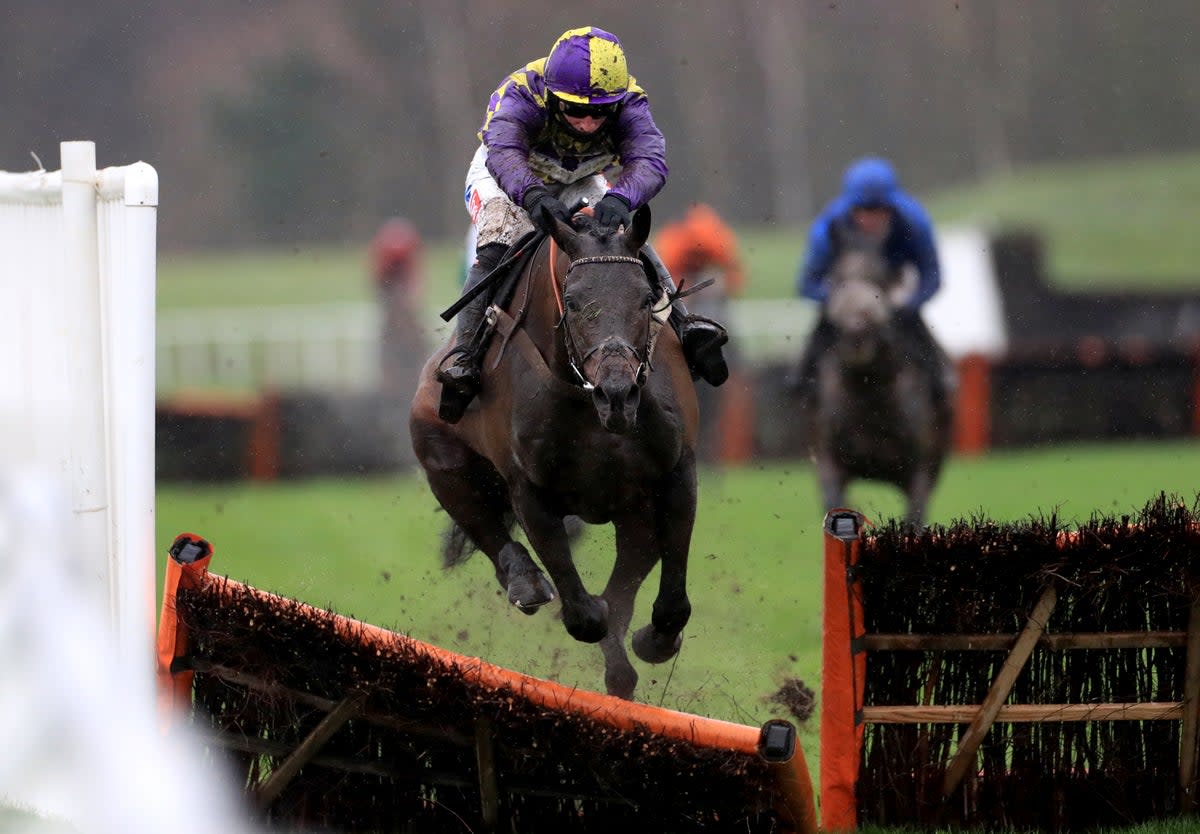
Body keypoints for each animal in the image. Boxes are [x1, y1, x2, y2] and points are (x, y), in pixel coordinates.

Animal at [410, 205, 700, 700]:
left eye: (646, 298)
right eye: (575, 301)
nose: (618, 393)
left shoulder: (675, 473)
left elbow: (669, 599)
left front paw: (655, 639)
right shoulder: (528, 489)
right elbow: (585, 613)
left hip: (635, 514)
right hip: (444, 462)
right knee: (490, 533)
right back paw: (525, 581)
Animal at [801, 231, 950, 525]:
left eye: (880, 279)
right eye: (836, 277)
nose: (856, 332)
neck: (869, 391)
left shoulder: (920, 470)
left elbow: (914, 518)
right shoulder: (829, 460)